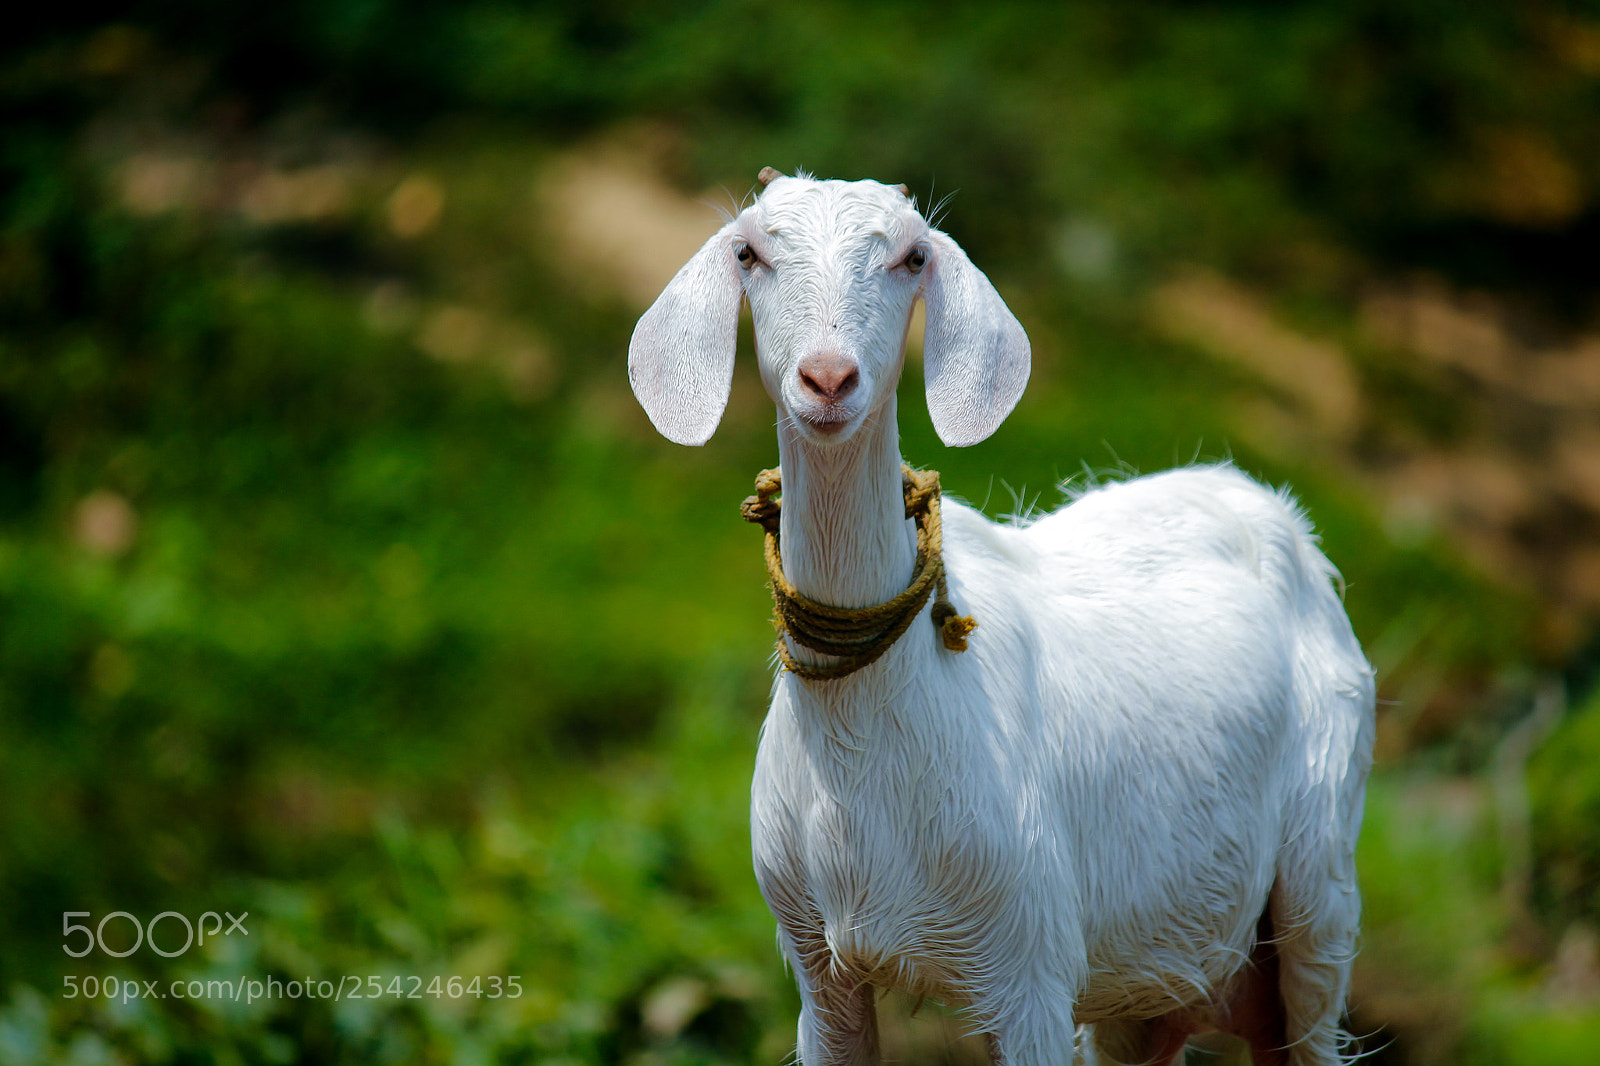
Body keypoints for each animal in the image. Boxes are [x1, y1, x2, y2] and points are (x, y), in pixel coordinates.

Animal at [628, 169, 1375, 1066]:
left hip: (1320, 887)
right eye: (749, 251)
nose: (828, 379)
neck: (871, 735)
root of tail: (1269, 505)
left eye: (912, 256)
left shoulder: (1029, 965)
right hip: (1151, 985)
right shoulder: (817, 966)